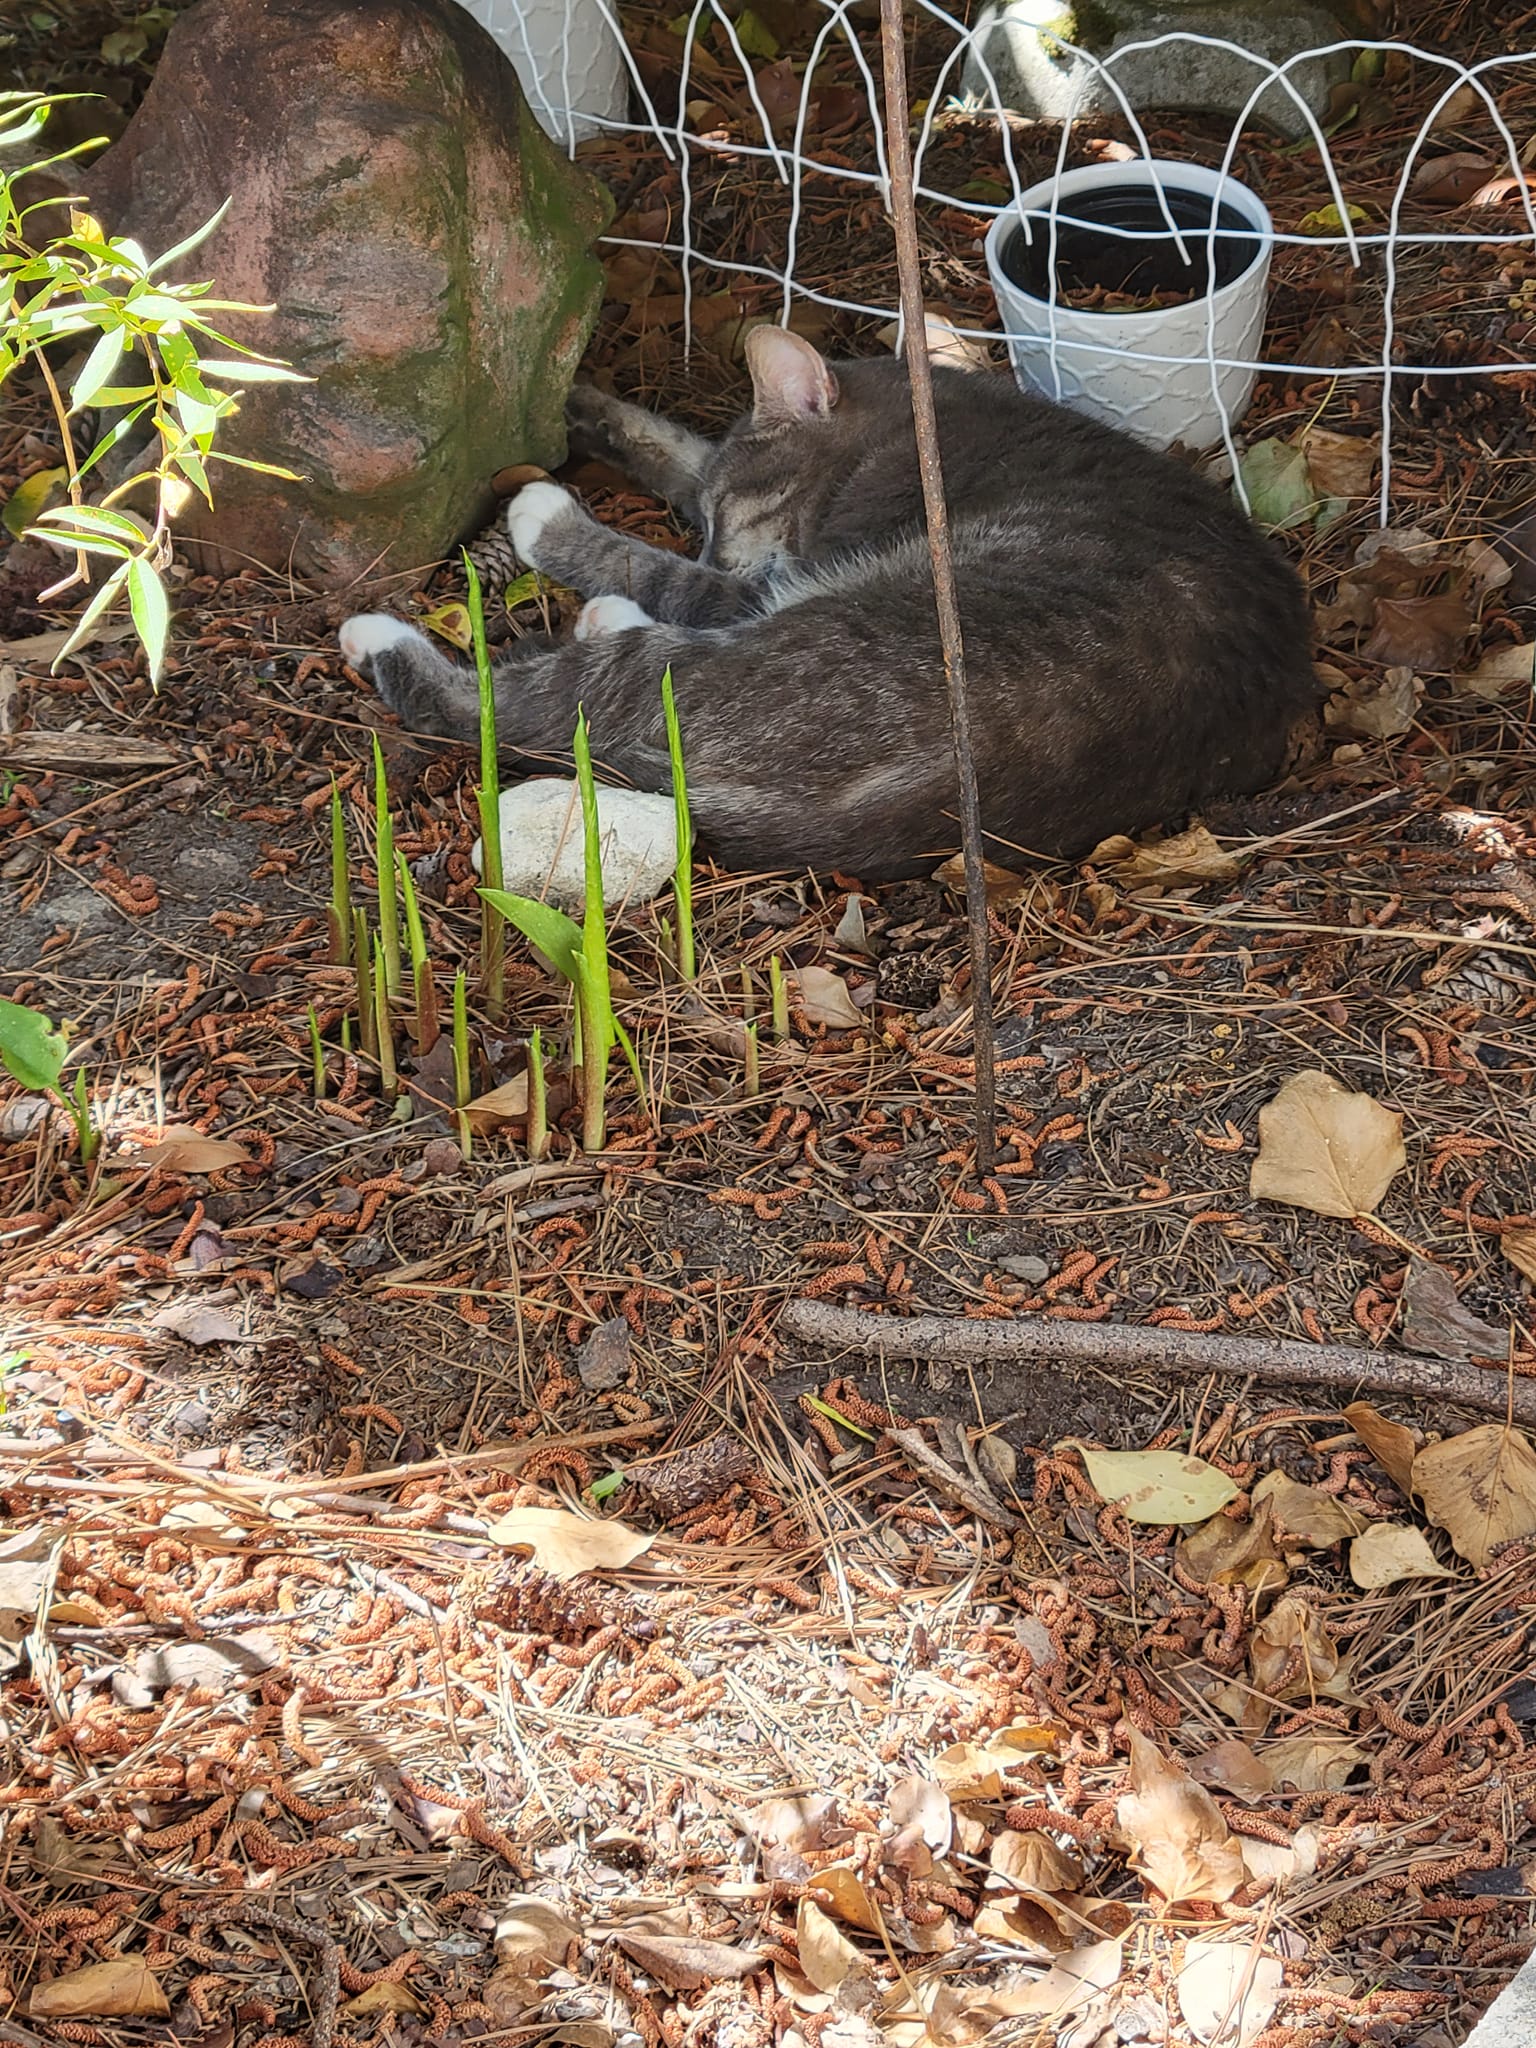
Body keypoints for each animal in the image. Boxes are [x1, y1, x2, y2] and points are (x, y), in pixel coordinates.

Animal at [339, 327, 1317, 881]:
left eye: (725, 518)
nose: (706, 540)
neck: (919, 425)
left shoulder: (774, 573)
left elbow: (671, 574)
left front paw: (547, 515)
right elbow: (680, 447)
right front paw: (583, 400)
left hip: (755, 649)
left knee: (520, 703)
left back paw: (383, 636)